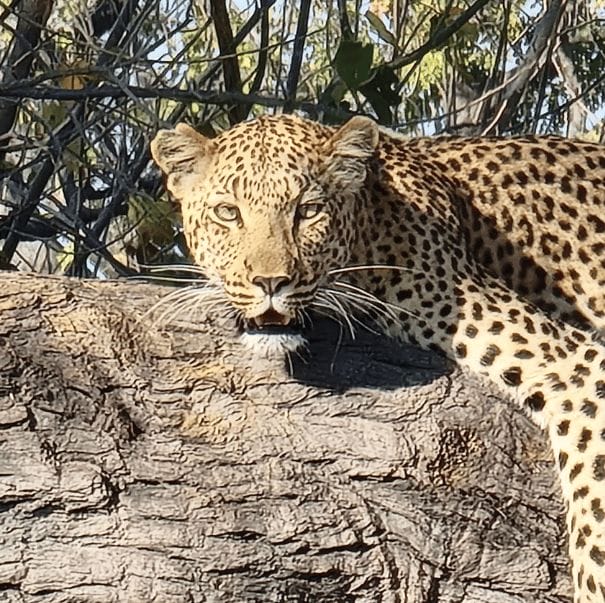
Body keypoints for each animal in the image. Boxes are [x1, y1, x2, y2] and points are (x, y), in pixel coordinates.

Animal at [149, 114, 600, 603]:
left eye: (308, 211)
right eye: (228, 213)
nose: (270, 282)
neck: (371, 232)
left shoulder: (579, 365)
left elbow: (593, 521)